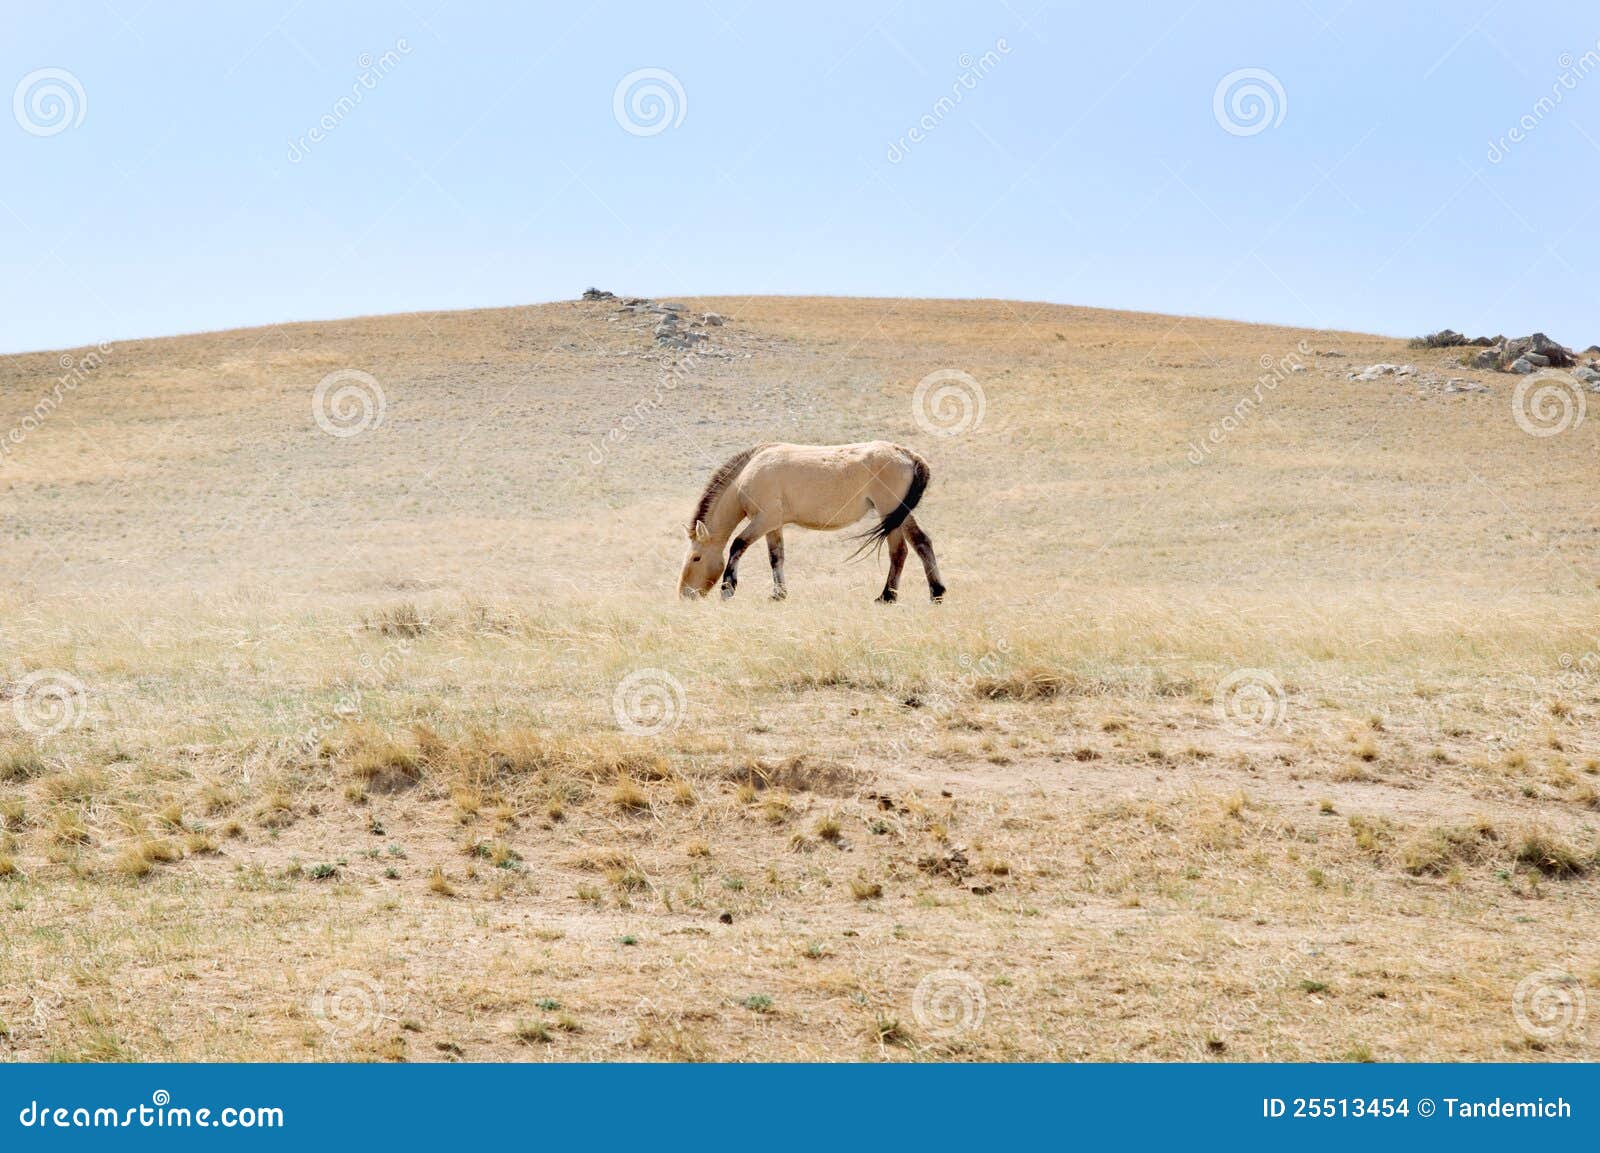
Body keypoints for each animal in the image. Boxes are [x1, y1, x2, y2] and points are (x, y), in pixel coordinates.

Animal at [672, 441, 940, 601]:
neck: (748, 474)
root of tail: (908, 455)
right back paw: (936, 593)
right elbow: (776, 557)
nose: (685, 594)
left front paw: (728, 589)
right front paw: (779, 594)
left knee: (899, 551)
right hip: (900, 515)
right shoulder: (773, 525)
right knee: (921, 543)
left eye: (696, 558)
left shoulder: (764, 519)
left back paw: (887, 597)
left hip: (890, 513)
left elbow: (738, 544)